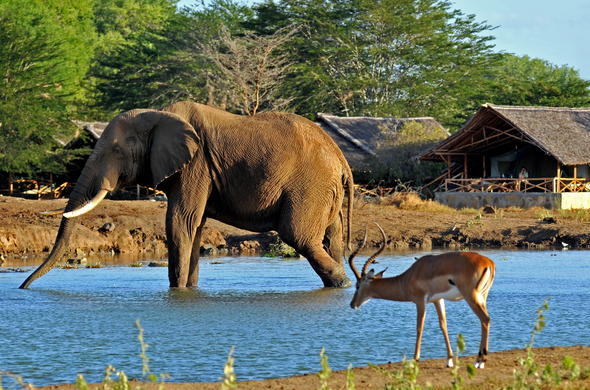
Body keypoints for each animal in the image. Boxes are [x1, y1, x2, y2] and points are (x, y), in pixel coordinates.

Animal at [20, 100, 356, 290]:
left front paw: (177, 292)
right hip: (325, 191)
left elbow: (180, 223)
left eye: (115, 151)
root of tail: (341, 159)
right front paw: (189, 289)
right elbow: (195, 226)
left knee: (298, 235)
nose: (23, 287)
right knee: (332, 237)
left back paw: (342, 281)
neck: (157, 116)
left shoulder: (196, 165)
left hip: (310, 185)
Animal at [352, 225, 494, 368]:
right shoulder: (438, 300)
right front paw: (449, 360)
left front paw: (415, 359)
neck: (407, 278)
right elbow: (443, 325)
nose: (352, 304)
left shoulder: (420, 301)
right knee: (485, 320)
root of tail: (488, 263)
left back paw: (480, 361)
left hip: (471, 296)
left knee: (485, 319)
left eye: (357, 285)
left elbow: (419, 327)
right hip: (483, 296)